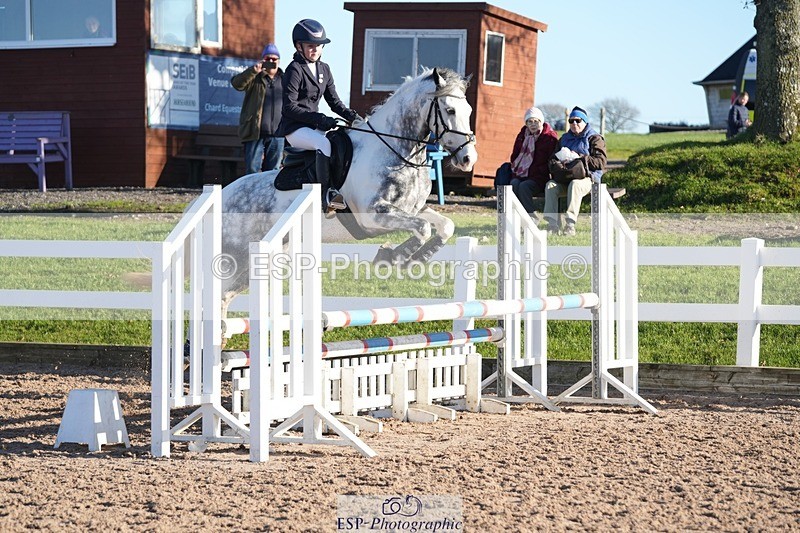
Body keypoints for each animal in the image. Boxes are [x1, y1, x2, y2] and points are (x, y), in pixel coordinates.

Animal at [219, 67, 478, 317]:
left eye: (468, 110)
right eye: (450, 110)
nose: (468, 159)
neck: (395, 149)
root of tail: (224, 194)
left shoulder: (412, 209)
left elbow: (444, 225)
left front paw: (415, 258)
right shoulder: (373, 215)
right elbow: (423, 228)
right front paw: (392, 258)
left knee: (225, 294)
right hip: (237, 254)